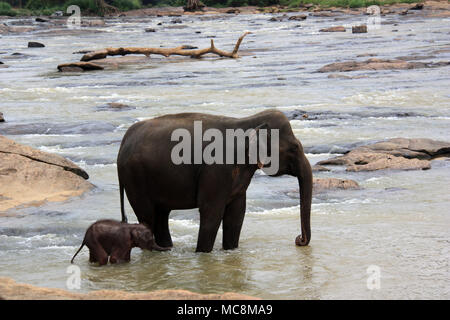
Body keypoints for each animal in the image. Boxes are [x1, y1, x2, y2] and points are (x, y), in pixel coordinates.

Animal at [118, 110, 312, 252]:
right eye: (294, 148)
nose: (299, 239)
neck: (247, 122)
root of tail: (124, 141)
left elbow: (237, 214)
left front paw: (230, 251)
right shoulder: (216, 168)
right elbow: (212, 212)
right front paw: (202, 254)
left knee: (161, 216)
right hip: (135, 178)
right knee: (148, 216)